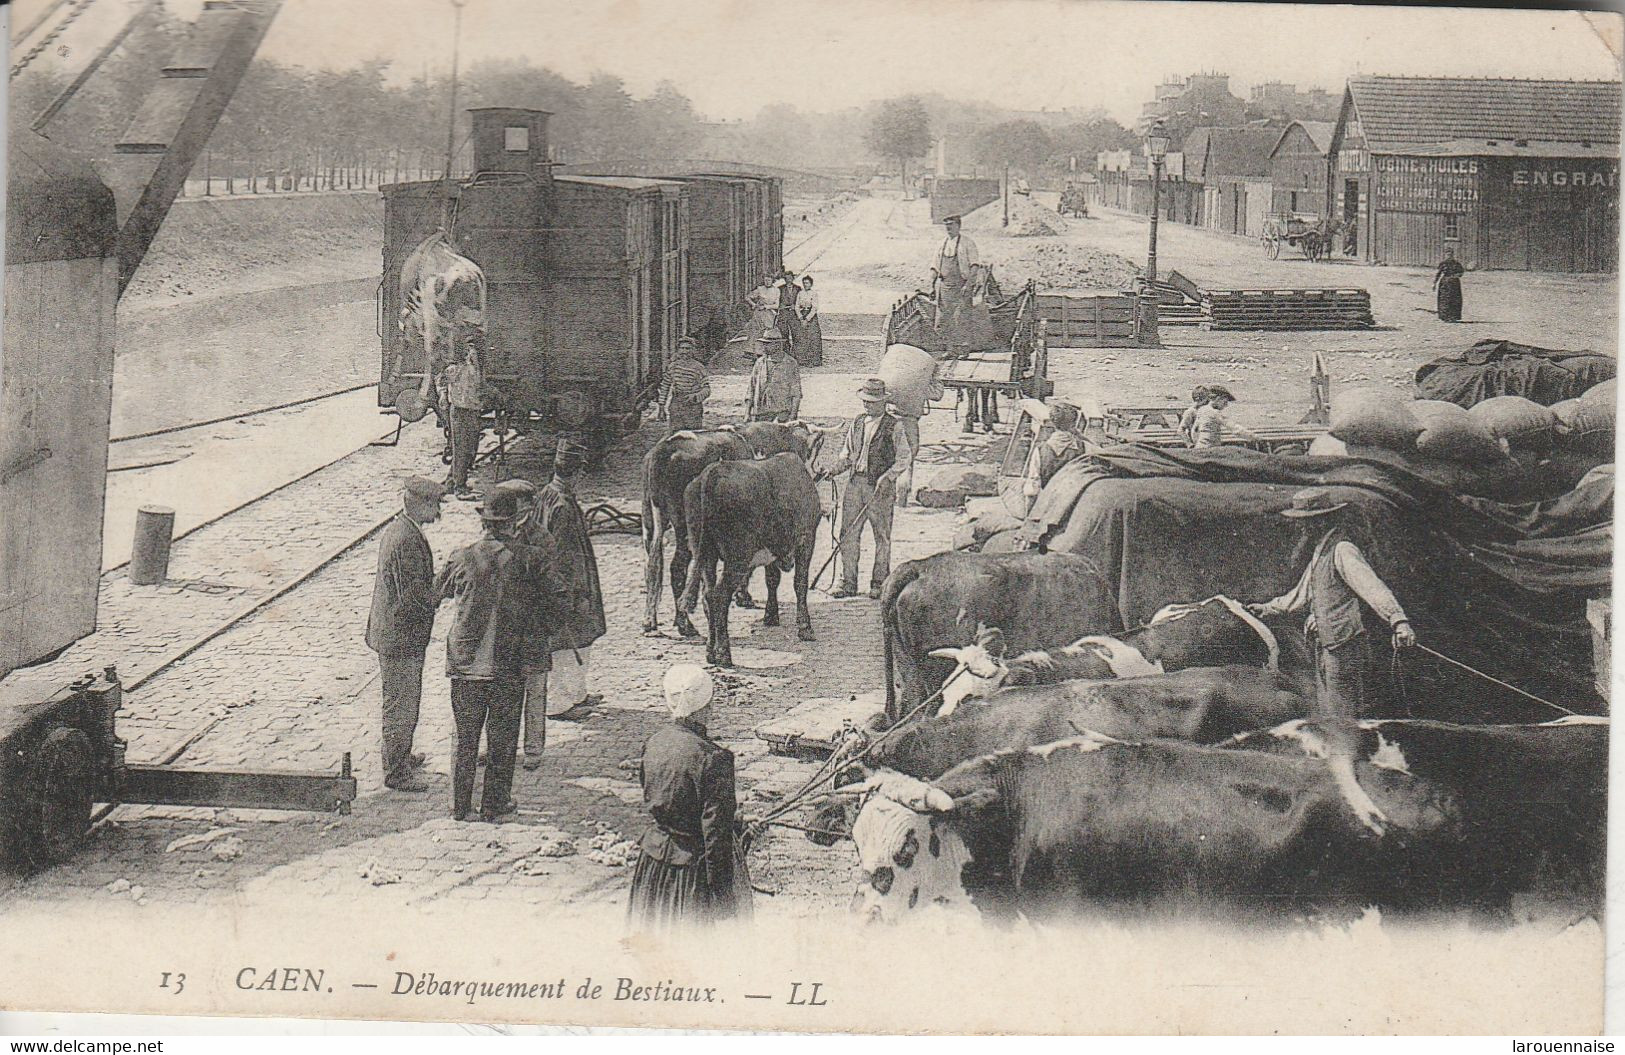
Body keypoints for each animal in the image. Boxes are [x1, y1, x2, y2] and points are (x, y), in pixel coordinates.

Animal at [640, 422, 832, 637]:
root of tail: (663, 450)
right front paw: (745, 597)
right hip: (684, 532)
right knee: (677, 568)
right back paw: (685, 624)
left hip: (650, 524)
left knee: (653, 566)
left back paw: (651, 621)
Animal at [676, 451, 819, 666]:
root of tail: (712, 472)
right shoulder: (806, 539)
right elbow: (800, 583)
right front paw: (805, 628)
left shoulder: (771, 553)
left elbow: (772, 580)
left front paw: (770, 616)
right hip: (737, 557)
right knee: (719, 596)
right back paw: (724, 654)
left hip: (705, 554)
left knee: (708, 596)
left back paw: (711, 652)